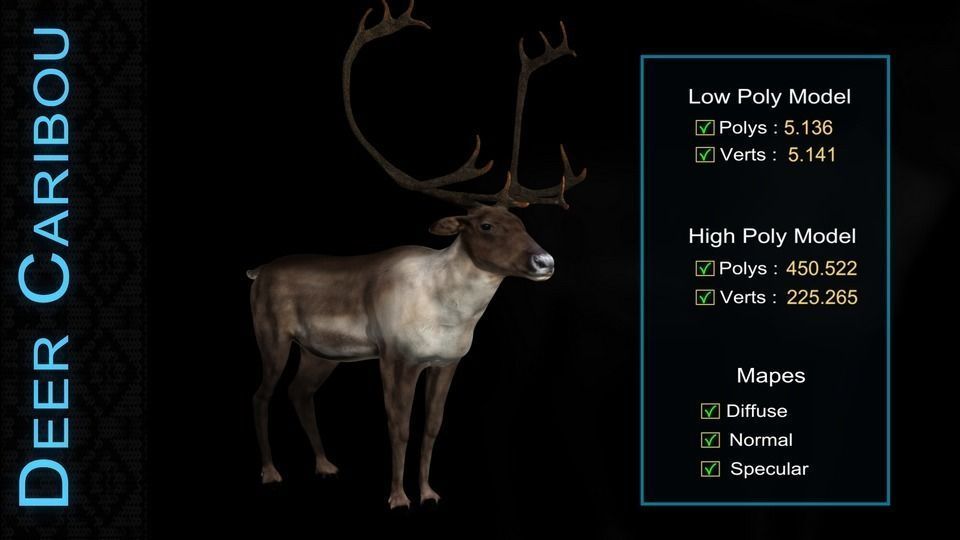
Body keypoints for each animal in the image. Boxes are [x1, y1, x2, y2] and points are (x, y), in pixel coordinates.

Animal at [247, 0, 586, 509]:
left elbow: (431, 428)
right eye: (486, 225)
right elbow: (398, 428)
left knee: (300, 392)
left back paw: (326, 465)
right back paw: (270, 472)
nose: (545, 262)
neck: (447, 314)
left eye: (524, 225)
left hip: (321, 352)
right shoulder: (394, 355)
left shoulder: (447, 362)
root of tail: (256, 272)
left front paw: (428, 492)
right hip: (272, 334)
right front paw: (397, 498)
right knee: (262, 394)